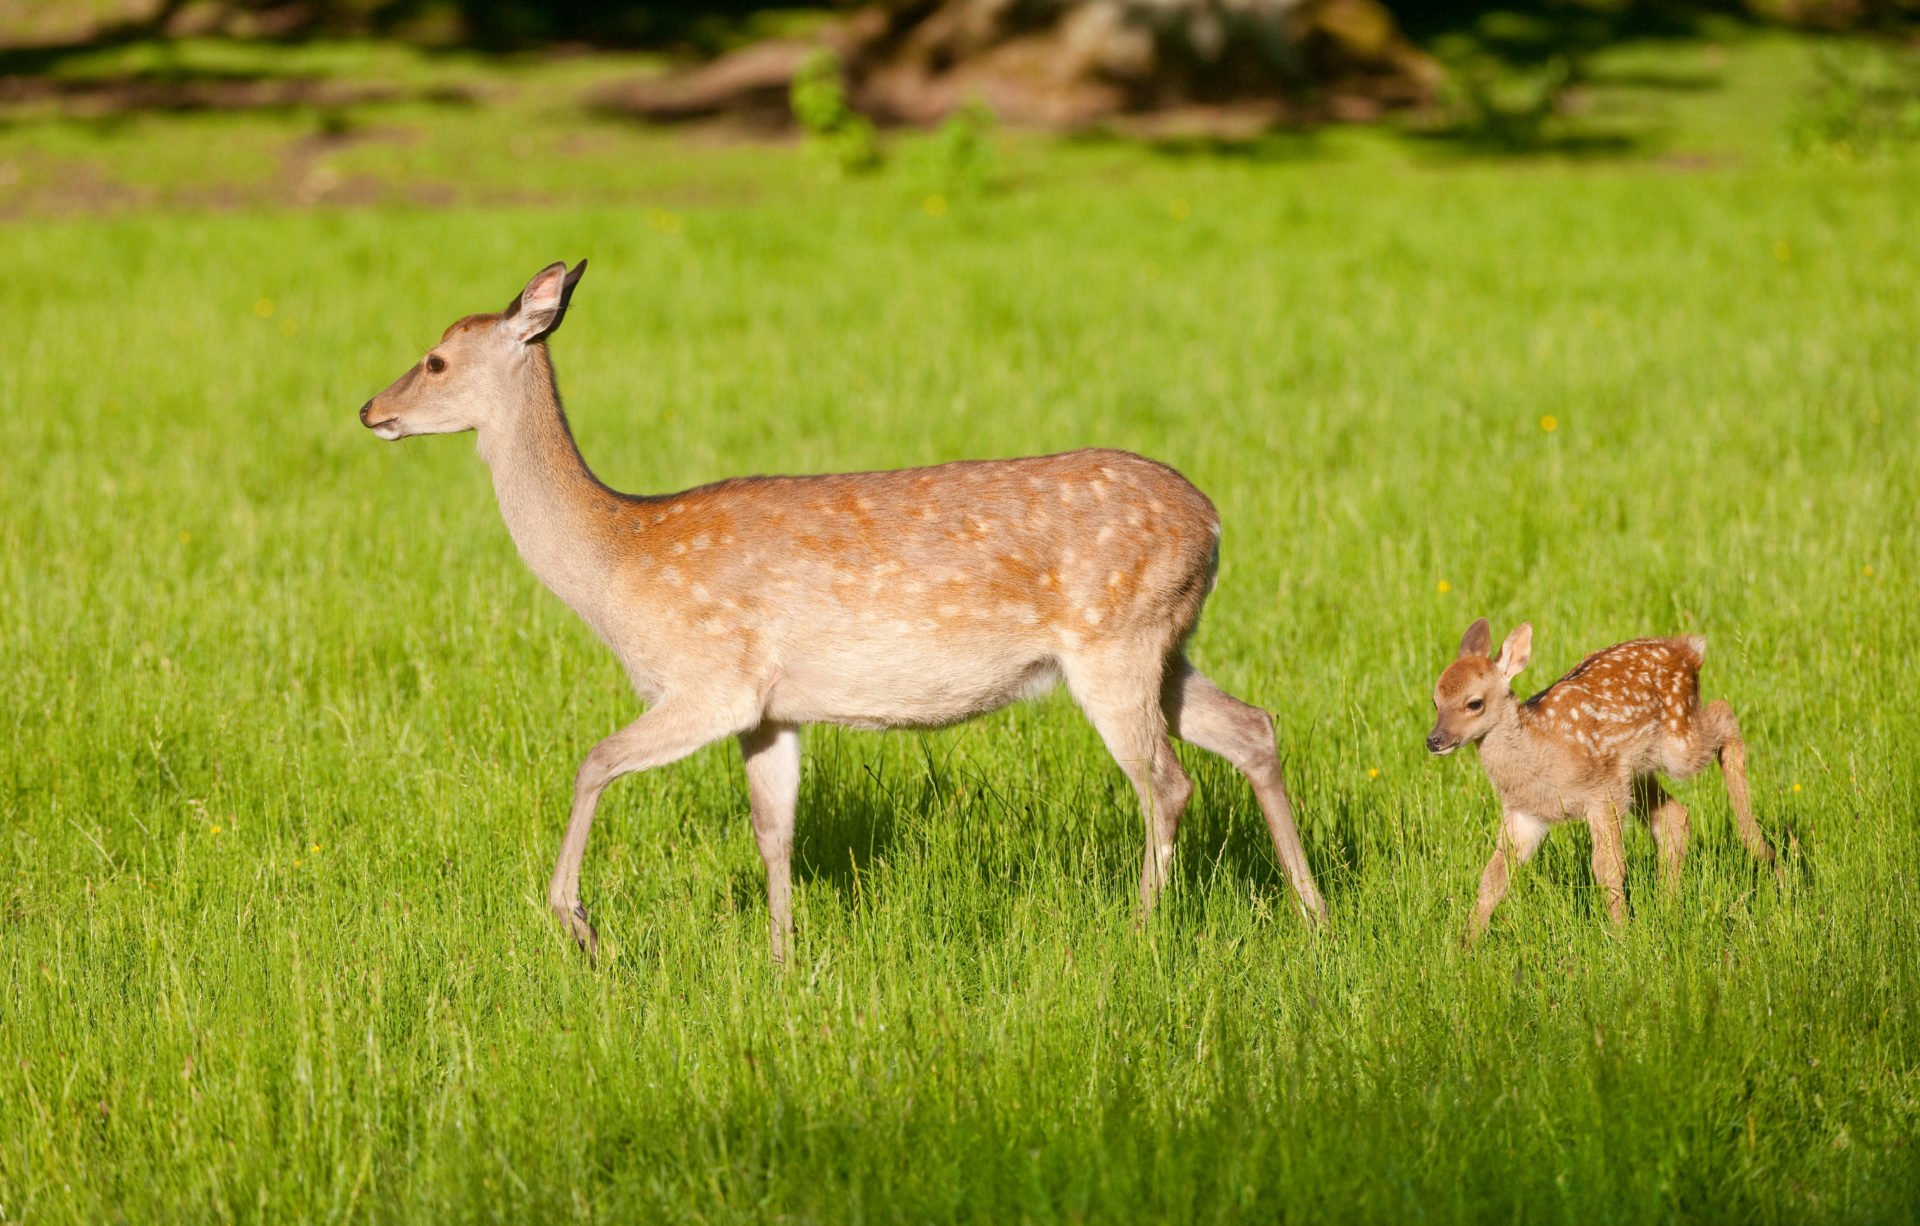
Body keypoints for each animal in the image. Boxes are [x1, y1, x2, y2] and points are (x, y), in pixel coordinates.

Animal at [357, 260, 1320, 959]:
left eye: (437, 359)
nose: (370, 408)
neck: (616, 558)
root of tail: (1214, 522)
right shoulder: (771, 708)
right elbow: (773, 830)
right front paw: (782, 960)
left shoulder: (710, 678)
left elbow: (593, 761)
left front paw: (580, 926)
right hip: (1166, 641)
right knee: (1253, 728)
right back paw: (1313, 913)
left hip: (1112, 640)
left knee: (1166, 781)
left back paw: (1139, 931)